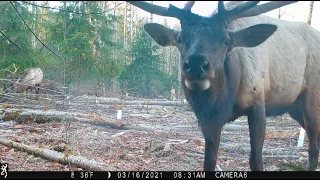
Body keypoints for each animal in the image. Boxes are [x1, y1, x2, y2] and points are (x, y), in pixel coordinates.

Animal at [127, 0, 320, 171]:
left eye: (226, 40)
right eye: (180, 38)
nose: (196, 64)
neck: (223, 99)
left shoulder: (258, 103)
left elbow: (256, 161)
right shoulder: (208, 118)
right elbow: (209, 162)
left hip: (311, 100)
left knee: (313, 149)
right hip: (294, 108)